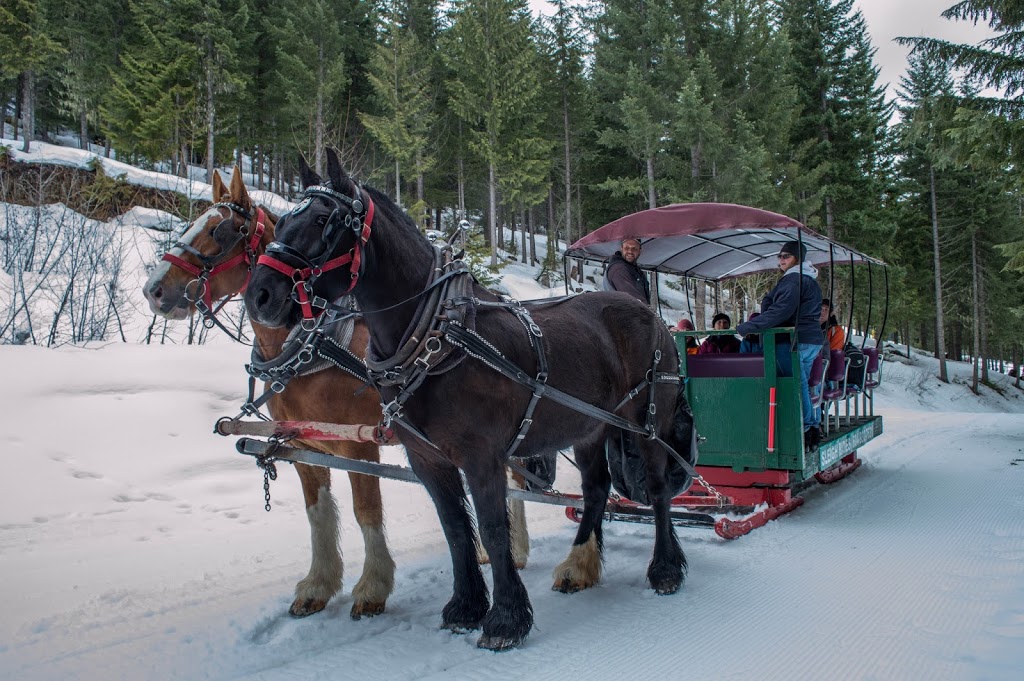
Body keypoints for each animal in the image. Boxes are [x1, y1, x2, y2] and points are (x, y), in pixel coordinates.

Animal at [245, 151, 696, 651]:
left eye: (324, 220)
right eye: (284, 219)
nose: (259, 295)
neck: (436, 337)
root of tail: (653, 316)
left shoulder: (482, 457)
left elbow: (494, 531)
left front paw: (505, 621)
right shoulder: (427, 459)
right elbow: (457, 530)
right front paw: (464, 607)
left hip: (648, 423)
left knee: (657, 488)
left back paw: (665, 569)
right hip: (590, 426)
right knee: (596, 489)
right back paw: (579, 565)